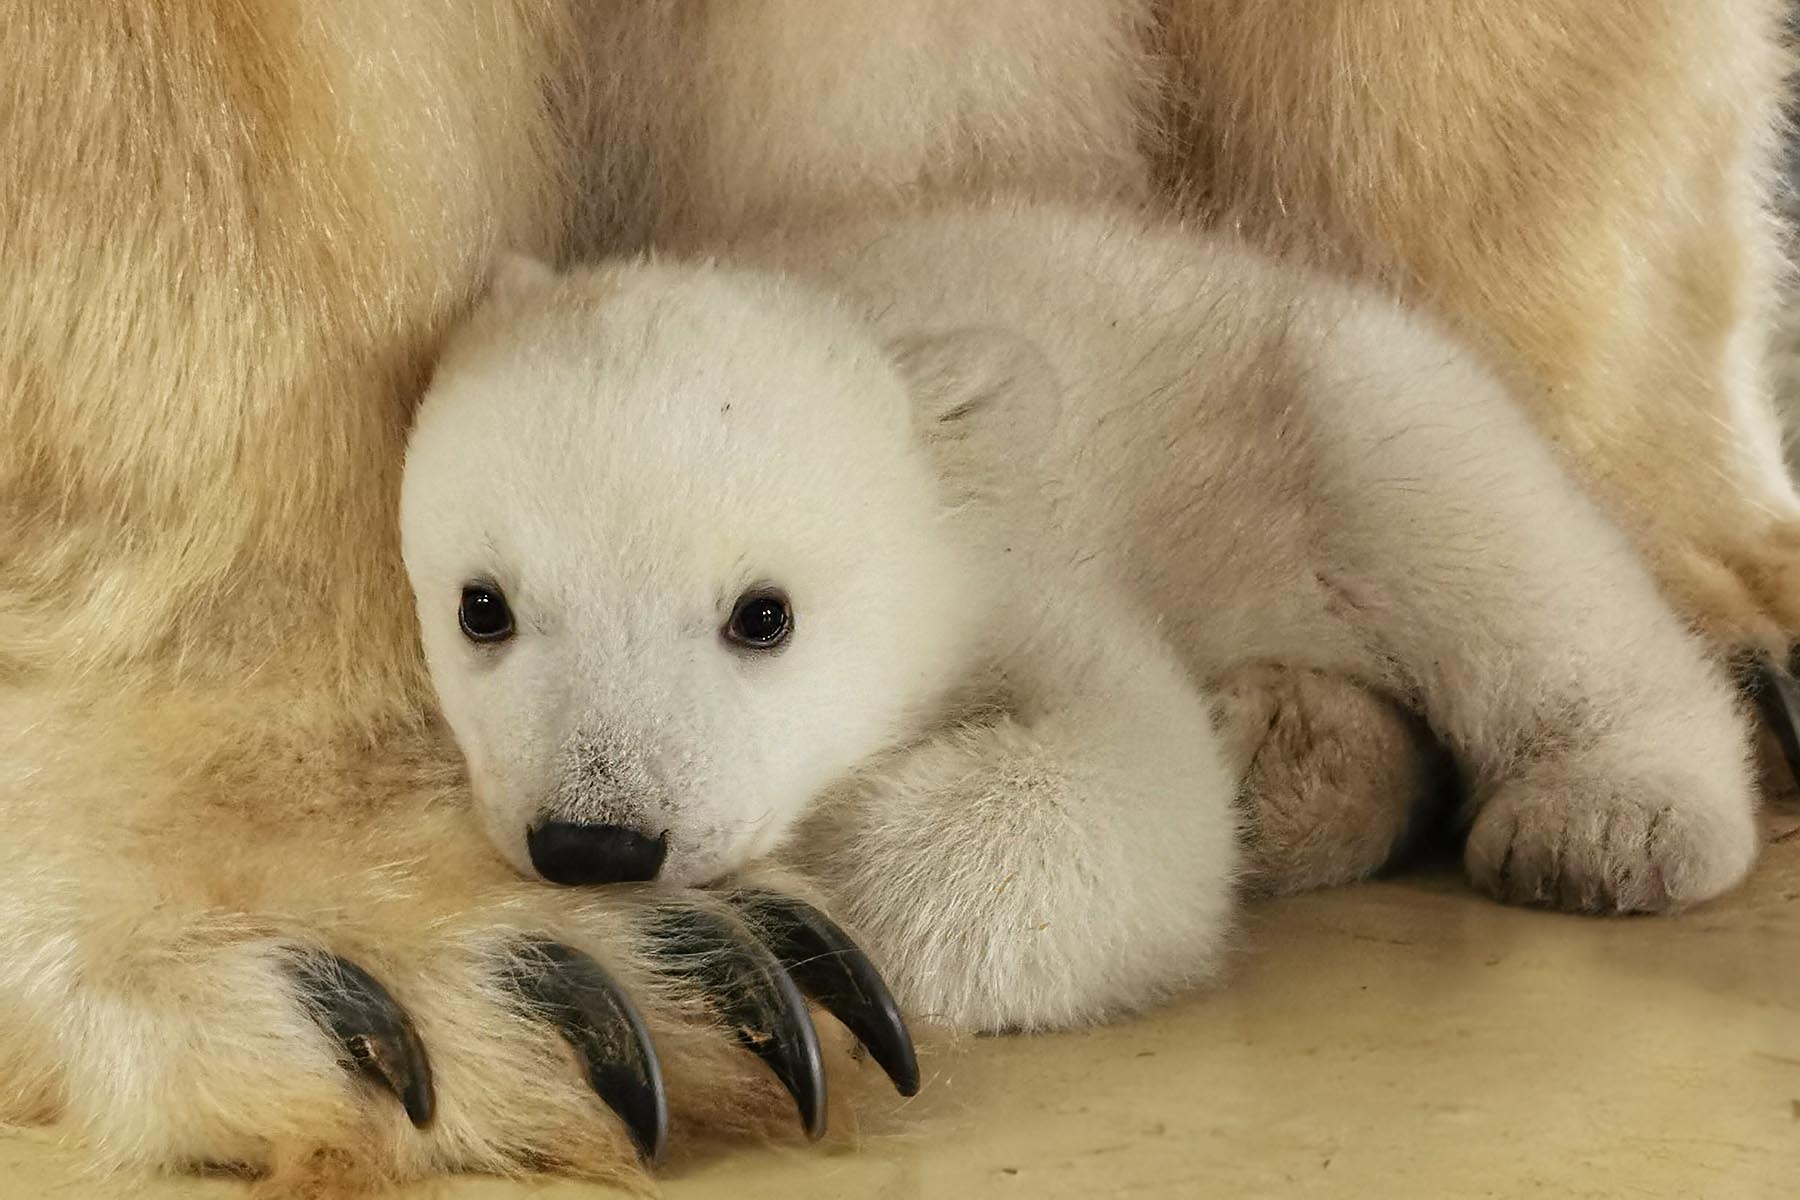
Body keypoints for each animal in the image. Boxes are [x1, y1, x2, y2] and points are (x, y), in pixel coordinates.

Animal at [400, 199, 1760, 1035]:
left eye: (762, 615)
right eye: (483, 607)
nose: (597, 841)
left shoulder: (1020, 561)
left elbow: (1134, 785)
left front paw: (828, 880)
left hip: (1333, 398)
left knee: (1490, 540)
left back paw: (1607, 824)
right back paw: (1297, 753)